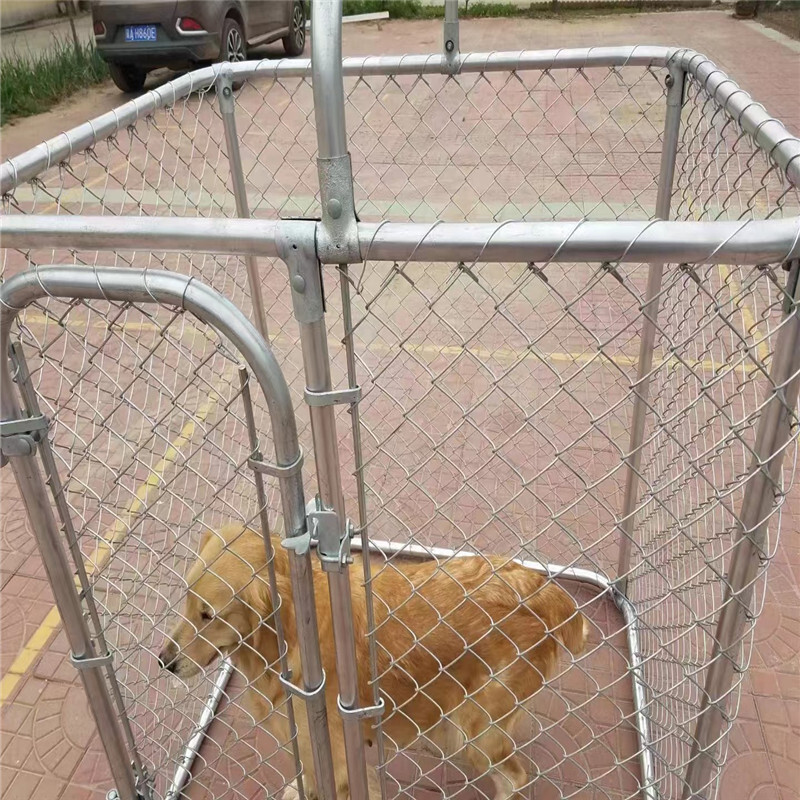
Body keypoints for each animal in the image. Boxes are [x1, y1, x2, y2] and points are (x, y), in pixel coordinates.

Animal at [161, 524, 588, 800]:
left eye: (208, 615)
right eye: (186, 599)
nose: (164, 662)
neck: (293, 631)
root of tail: (539, 588)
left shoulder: (337, 759)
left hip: (471, 732)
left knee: (513, 778)